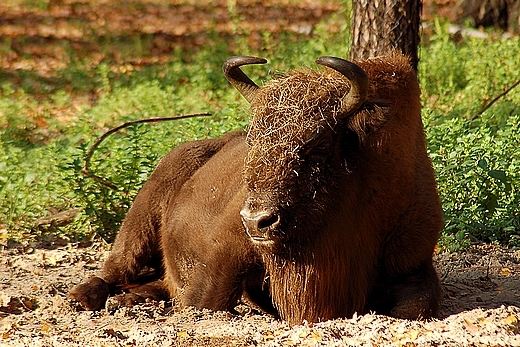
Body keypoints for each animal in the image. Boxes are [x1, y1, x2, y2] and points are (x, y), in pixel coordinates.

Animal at [68, 51, 442, 326]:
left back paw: (131, 297)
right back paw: (83, 298)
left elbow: (416, 307)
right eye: (252, 139)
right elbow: (207, 301)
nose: (257, 221)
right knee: (115, 266)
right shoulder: (225, 248)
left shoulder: (413, 260)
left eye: (319, 144)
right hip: (141, 220)